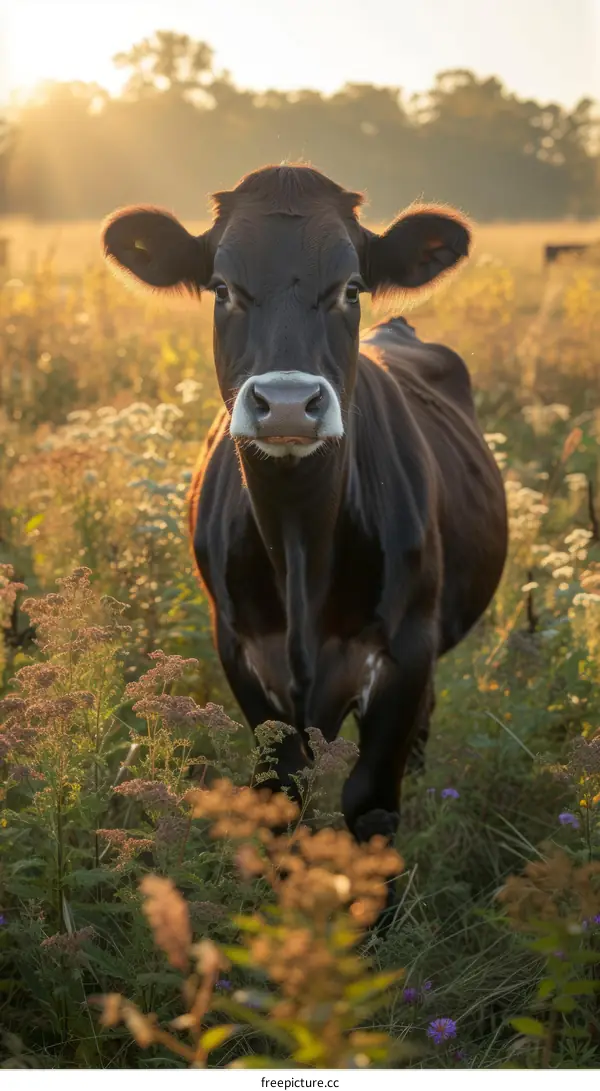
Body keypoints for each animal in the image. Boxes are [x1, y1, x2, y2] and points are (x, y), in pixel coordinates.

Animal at [103, 164, 508, 874]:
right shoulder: (242, 651)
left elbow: (371, 805)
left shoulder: (405, 653)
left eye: (351, 287)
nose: (288, 403)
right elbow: (282, 796)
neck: (299, 544)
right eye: (222, 288)